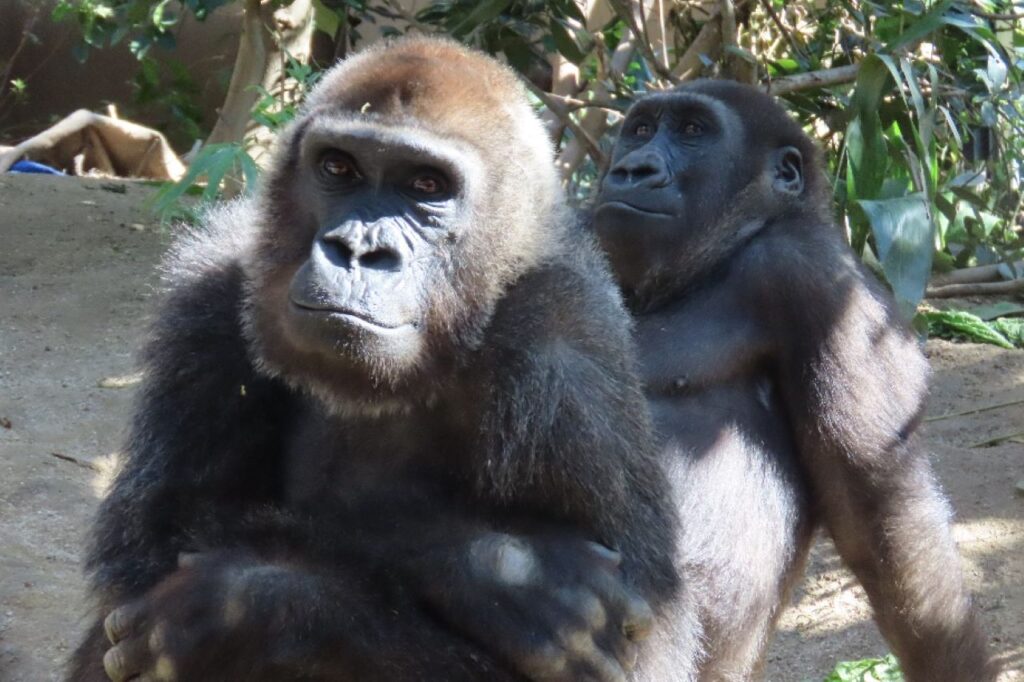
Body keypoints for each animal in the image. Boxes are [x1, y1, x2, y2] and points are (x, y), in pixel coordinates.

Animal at [70, 38, 688, 679]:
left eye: (427, 186)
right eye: (338, 168)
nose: (358, 251)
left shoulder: (567, 349)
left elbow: (652, 650)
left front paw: (239, 606)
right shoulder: (209, 289)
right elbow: (154, 539)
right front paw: (503, 571)